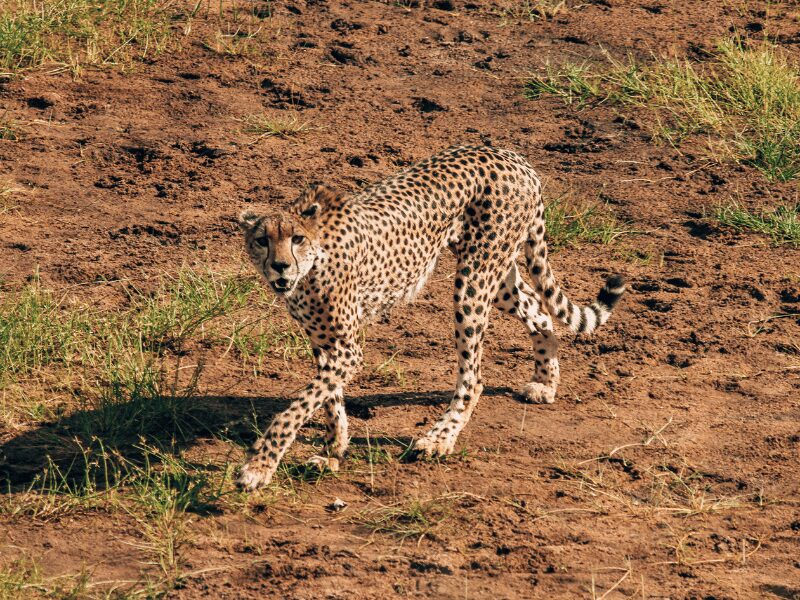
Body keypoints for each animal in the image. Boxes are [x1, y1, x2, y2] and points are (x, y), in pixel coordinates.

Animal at [236, 145, 625, 490]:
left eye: (296, 238)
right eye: (262, 240)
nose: (280, 266)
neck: (311, 266)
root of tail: (512, 156)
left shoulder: (347, 349)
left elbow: (297, 408)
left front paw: (259, 467)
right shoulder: (323, 342)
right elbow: (330, 399)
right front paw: (334, 451)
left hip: (473, 280)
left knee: (474, 377)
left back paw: (439, 438)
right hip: (496, 277)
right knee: (539, 310)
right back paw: (545, 382)